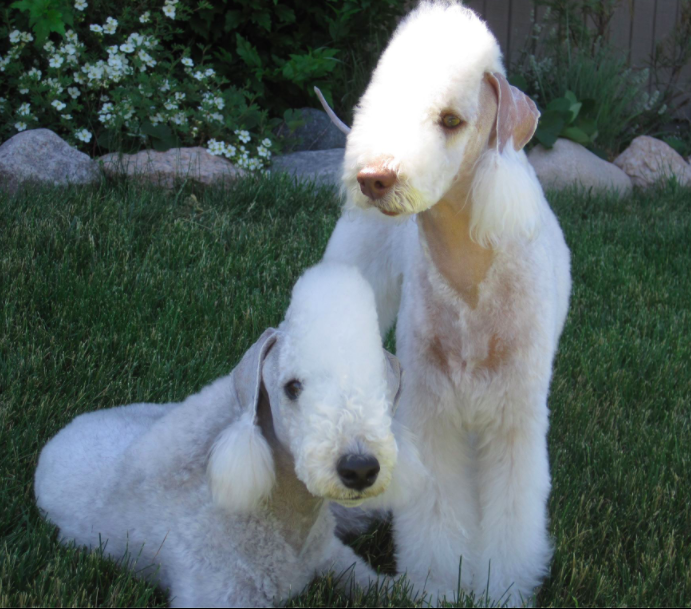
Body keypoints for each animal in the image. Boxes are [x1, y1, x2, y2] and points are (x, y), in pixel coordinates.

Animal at [35, 264, 416, 604]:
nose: (360, 469)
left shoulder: (332, 556)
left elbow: (383, 588)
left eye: (377, 385)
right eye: (293, 388)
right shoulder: (219, 592)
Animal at [324, 2, 572, 604]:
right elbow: (436, 511)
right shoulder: (431, 410)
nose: (373, 177)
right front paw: (438, 584)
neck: (469, 272)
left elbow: (511, 517)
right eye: (380, 101)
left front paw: (500, 588)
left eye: (452, 120)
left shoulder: (514, 416)